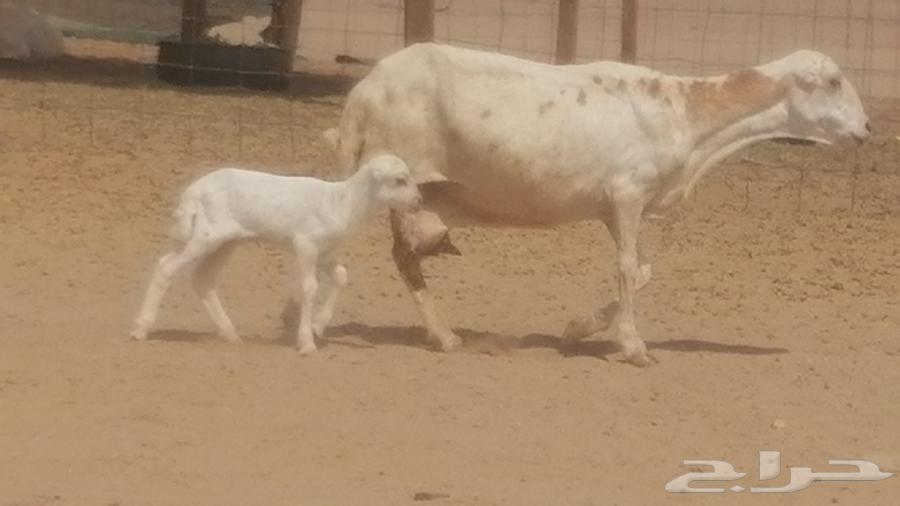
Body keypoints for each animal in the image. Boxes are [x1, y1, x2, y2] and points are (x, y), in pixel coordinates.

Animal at [130, 154, 423, 354]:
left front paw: (319, 325)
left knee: (201, 279)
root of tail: (192, 192)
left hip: (224, 241)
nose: (419, 202)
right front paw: (306, 342)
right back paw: (140, 329)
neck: (342, 203)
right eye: (399, 180)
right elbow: (309, 287)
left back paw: (230, 334)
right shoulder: (305, 245)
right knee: (166, 268)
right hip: (205, 235)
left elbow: (340, 276)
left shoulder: (326, 253)